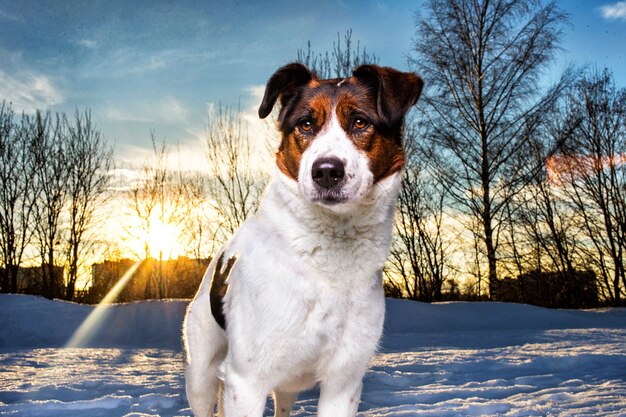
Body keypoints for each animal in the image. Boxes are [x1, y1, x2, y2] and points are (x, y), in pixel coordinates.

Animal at [183, 62, 422, 416]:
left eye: (360, 121)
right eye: (306, 124)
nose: (326, 171)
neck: (328, 250)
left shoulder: (344, 382)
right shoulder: (247, 381)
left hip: (286, 385)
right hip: (202, 373)